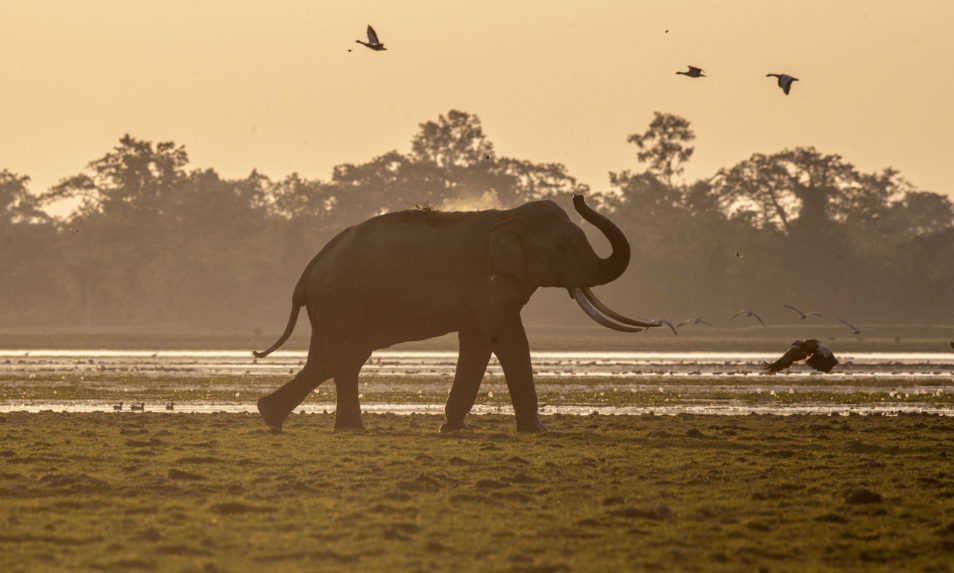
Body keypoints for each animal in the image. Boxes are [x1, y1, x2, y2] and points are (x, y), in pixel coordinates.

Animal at [256, 194, 664, 432]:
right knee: (340, 357)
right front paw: (536, 432)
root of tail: (306, 275)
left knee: (338, 358)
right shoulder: (485, 282)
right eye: (564, 246)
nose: (579, 196)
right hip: (341, 301)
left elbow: (478, 339)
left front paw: (450, 428)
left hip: (337, 305)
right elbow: (505, 337)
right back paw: (285, 418)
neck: (509, 217)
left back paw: (293, 419)